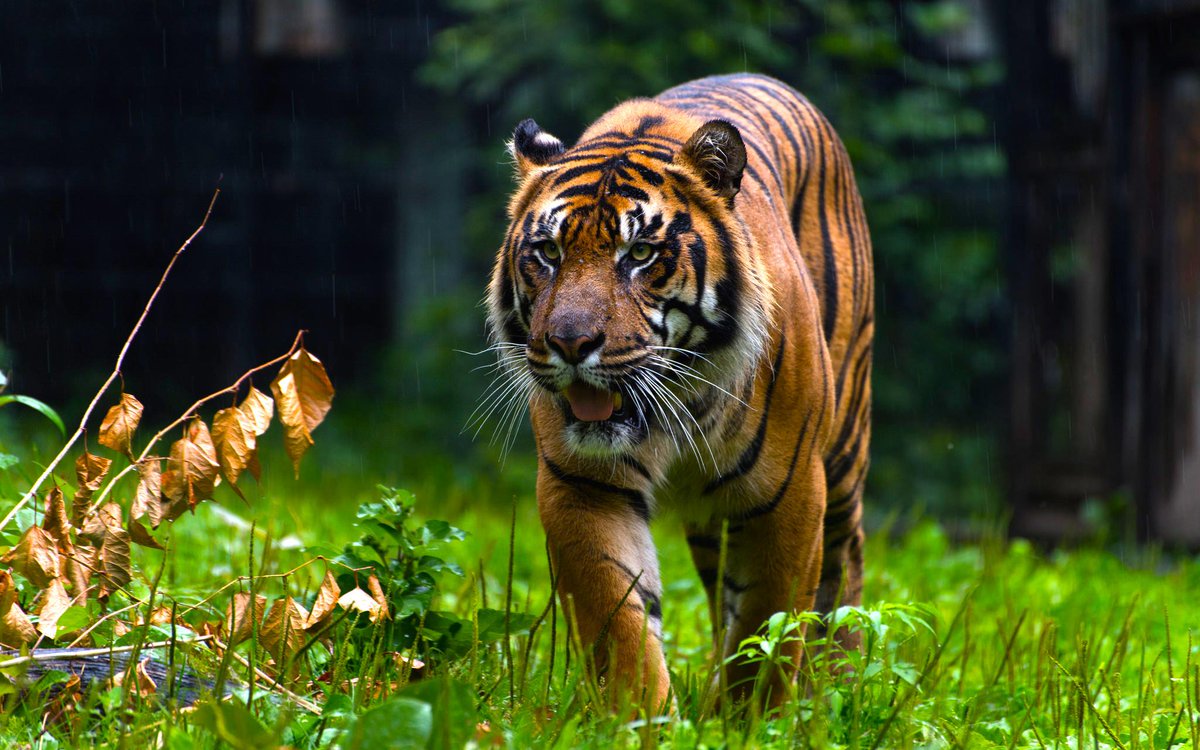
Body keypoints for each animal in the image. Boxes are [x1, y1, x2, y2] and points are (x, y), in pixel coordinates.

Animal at [486, 73, 873, 712]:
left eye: (639, 254)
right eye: (549, 252)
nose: (570, 344)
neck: (681, 400)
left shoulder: (790, 493)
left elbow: (768, 625)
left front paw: (750, 719)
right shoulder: (583, 486)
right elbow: (619, 620)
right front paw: (642, 716)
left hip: (841, 455)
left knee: (845, 561)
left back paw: (836, 685)